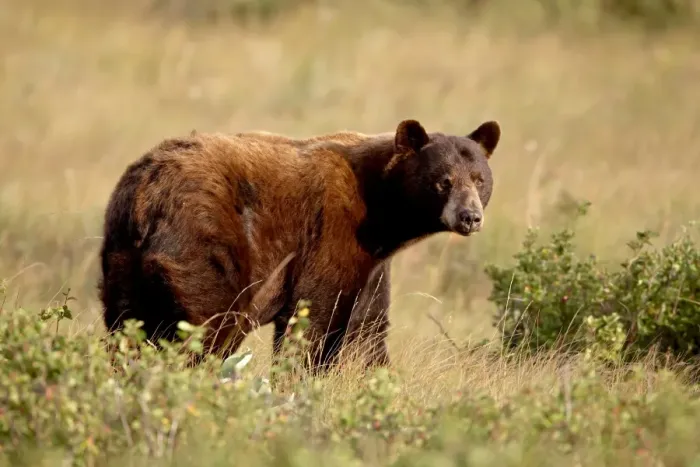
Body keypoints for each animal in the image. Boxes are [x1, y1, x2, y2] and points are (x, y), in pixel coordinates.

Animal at [98, 118, 501, 370]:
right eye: (444, 181)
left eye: (479, 178)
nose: (470, 217)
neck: (381, 213)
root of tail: (148, 192)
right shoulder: (332, 234)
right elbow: (315, 317)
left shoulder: (373, 264)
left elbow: (368, 331)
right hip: (206, 239)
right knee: (210, 324)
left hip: (122, 256)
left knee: (127, 328)